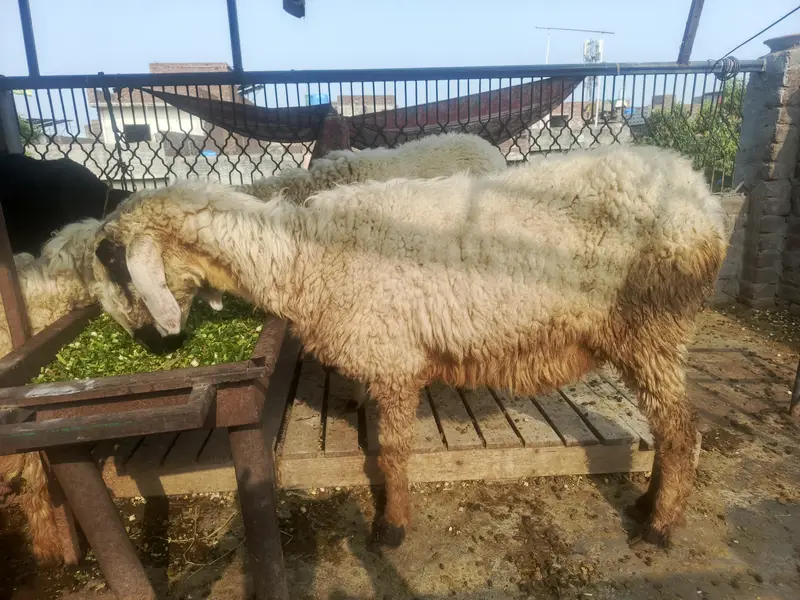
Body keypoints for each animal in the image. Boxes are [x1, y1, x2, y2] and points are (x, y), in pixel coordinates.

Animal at [89, 143, 726, 549]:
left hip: (653, 327)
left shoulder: (393, 358)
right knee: (673, 429)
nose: (150, 344)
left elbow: (392, 453)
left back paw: (660, 526)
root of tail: (702, 197)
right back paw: (649, 505)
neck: (302, 254)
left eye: (115, 263)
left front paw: (391, 527)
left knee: (682, 430)